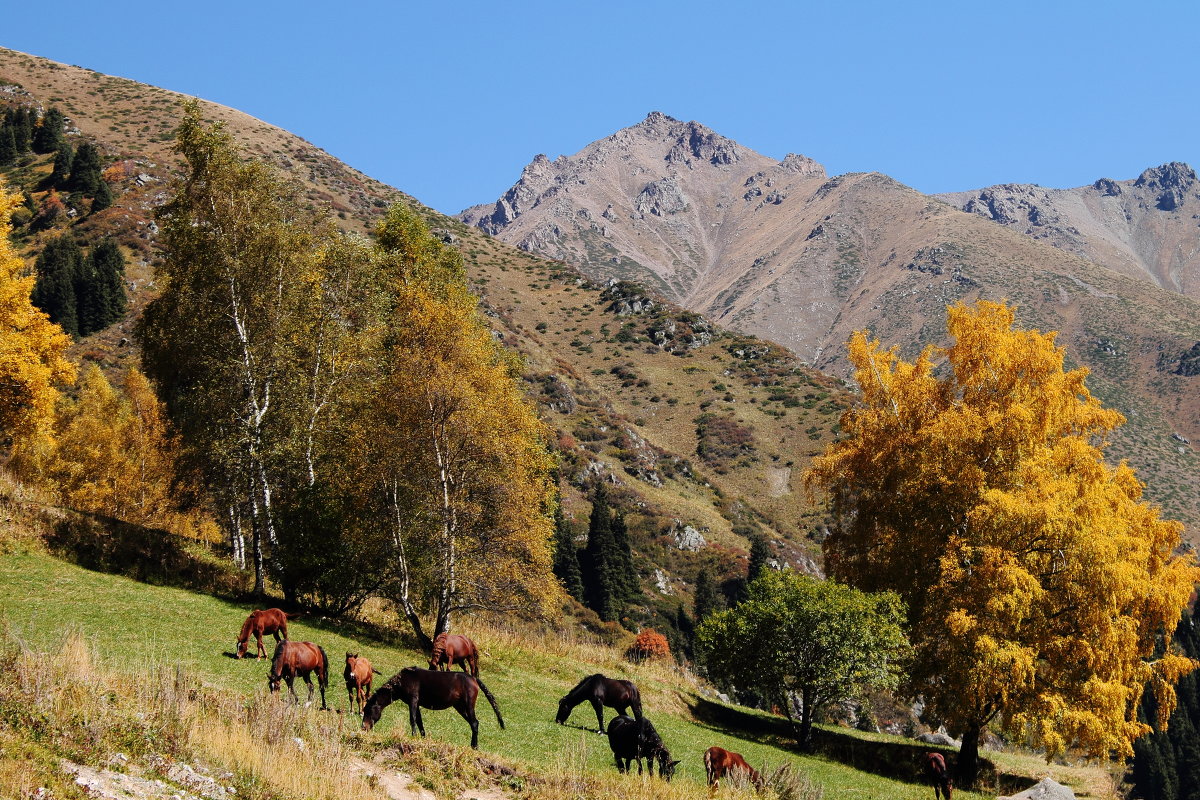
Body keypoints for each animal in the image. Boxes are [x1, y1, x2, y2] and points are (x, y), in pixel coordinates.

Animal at [357, 666, 504, 748]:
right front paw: (422, 738)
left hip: (468, 705)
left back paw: (474, 746)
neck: (402, 681)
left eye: (368, 710)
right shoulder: (416, 704)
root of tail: (473, 679)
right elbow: (420, 722)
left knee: (474, 723)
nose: (364, 727)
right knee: (474, 723)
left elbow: (412, 720)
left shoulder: (413, 700)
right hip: (460, 707)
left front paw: (413, 736)